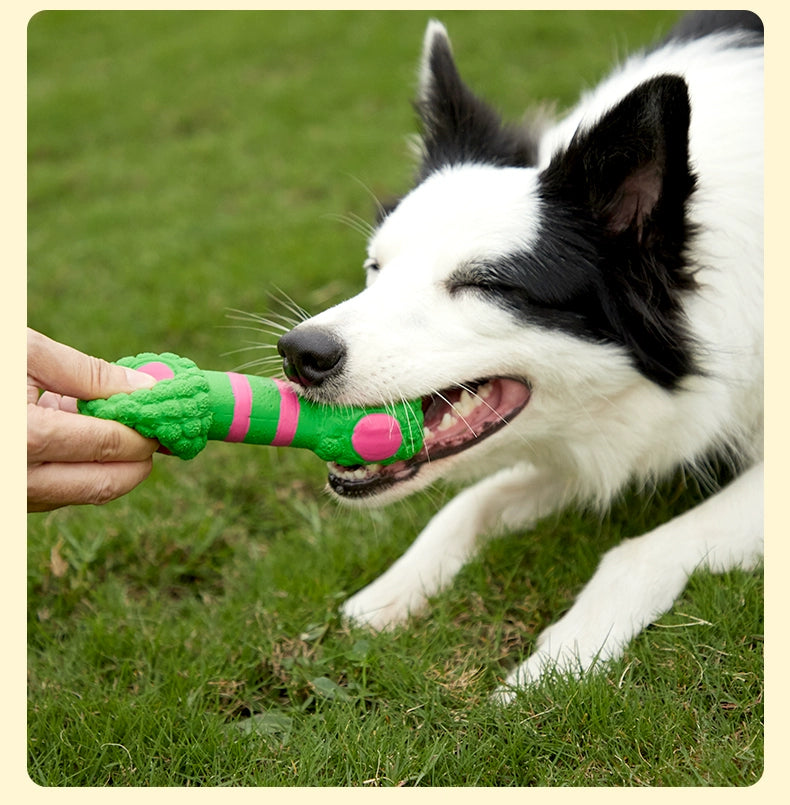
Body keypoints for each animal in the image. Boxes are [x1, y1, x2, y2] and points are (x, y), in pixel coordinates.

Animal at [276, 9, 760, 700]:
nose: (298, 354)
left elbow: (638, 549)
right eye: (375, 268)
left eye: (485, 284)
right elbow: (468, 503)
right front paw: (387, 596)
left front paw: (560, 661)